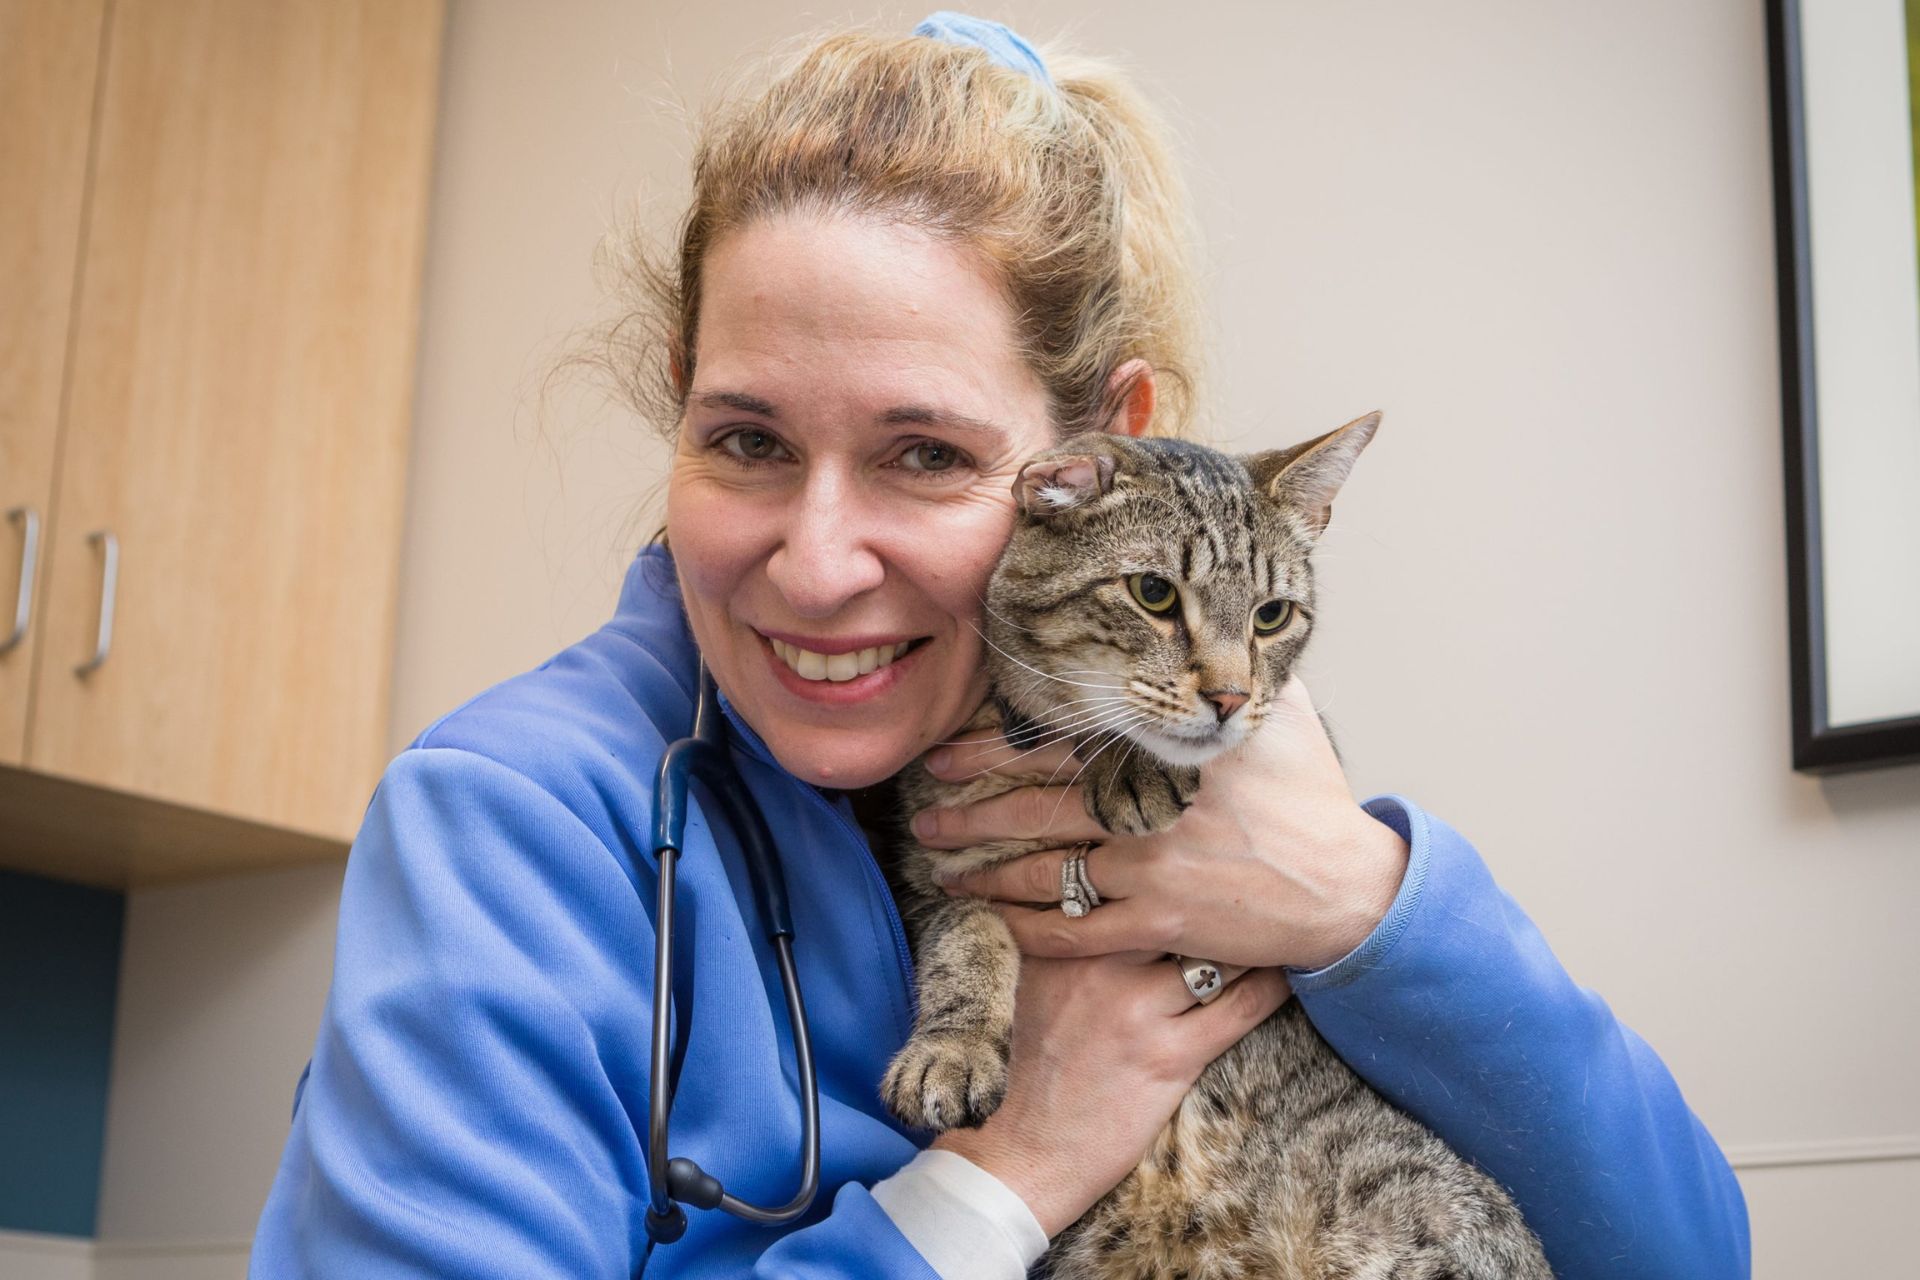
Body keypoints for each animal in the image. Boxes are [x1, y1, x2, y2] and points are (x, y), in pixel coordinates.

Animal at [879, 416, 1551, 1274]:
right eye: (1154, 594)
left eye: (1272, 615)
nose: (1230, 697)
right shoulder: (928, 873)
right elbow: (964, 938)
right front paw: (953, 1049)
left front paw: (1132, 763)